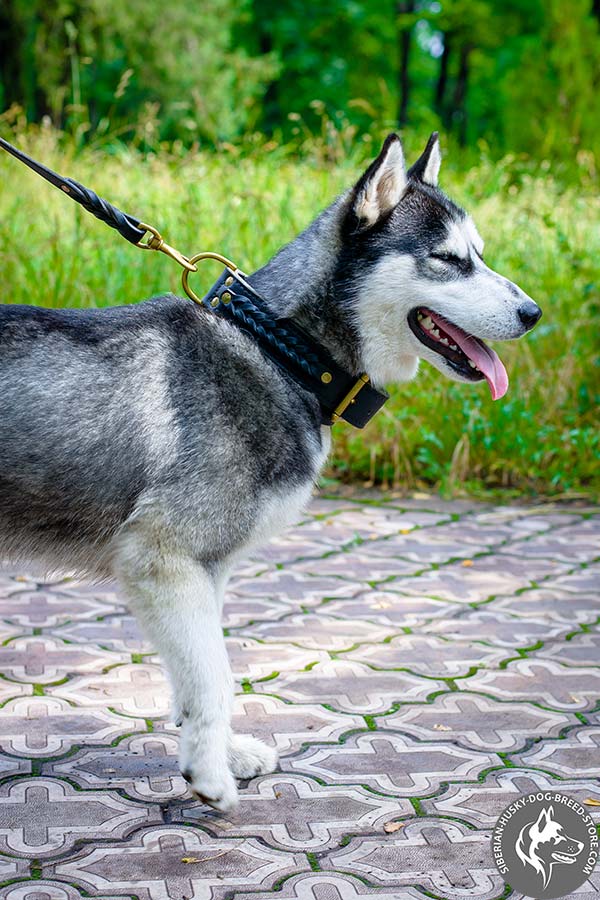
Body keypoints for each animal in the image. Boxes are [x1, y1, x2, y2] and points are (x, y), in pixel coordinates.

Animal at [0, 132, 540, 808]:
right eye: (448, 258)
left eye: (480, 256)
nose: (534, 312)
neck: (283, 352)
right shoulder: (164, 560)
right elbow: (215, 676)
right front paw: (209, 777)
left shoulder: (202, 574)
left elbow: (197, 676)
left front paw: (219, 752)